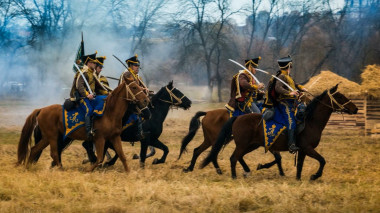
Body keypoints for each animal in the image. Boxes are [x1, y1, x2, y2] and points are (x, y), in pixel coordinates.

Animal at [16, 80, 150, 173]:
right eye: (134, 87)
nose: (146, 101)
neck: (110, 113)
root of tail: (41, 109)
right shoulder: (100, 139)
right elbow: (99, 158)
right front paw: (88, 170)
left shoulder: (114, 137)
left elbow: (122, 156)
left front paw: (128, 173)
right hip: (53, 137)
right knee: (54, 153)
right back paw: (60, 170)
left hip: (47, 138)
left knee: (34, 150)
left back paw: (27, 168)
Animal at [203, 85, 358, 180]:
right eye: (340, 97)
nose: (355, 109)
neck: (311, 121)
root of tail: (237, 118)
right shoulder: (308, 148)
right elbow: (322, 160)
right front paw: (314, 176)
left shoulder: (303, 150)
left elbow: (299, 166)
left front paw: (298, 179)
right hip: (242, 145)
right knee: (233, 158)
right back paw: (234, 176)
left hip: (251, 145)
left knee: (237, 157)